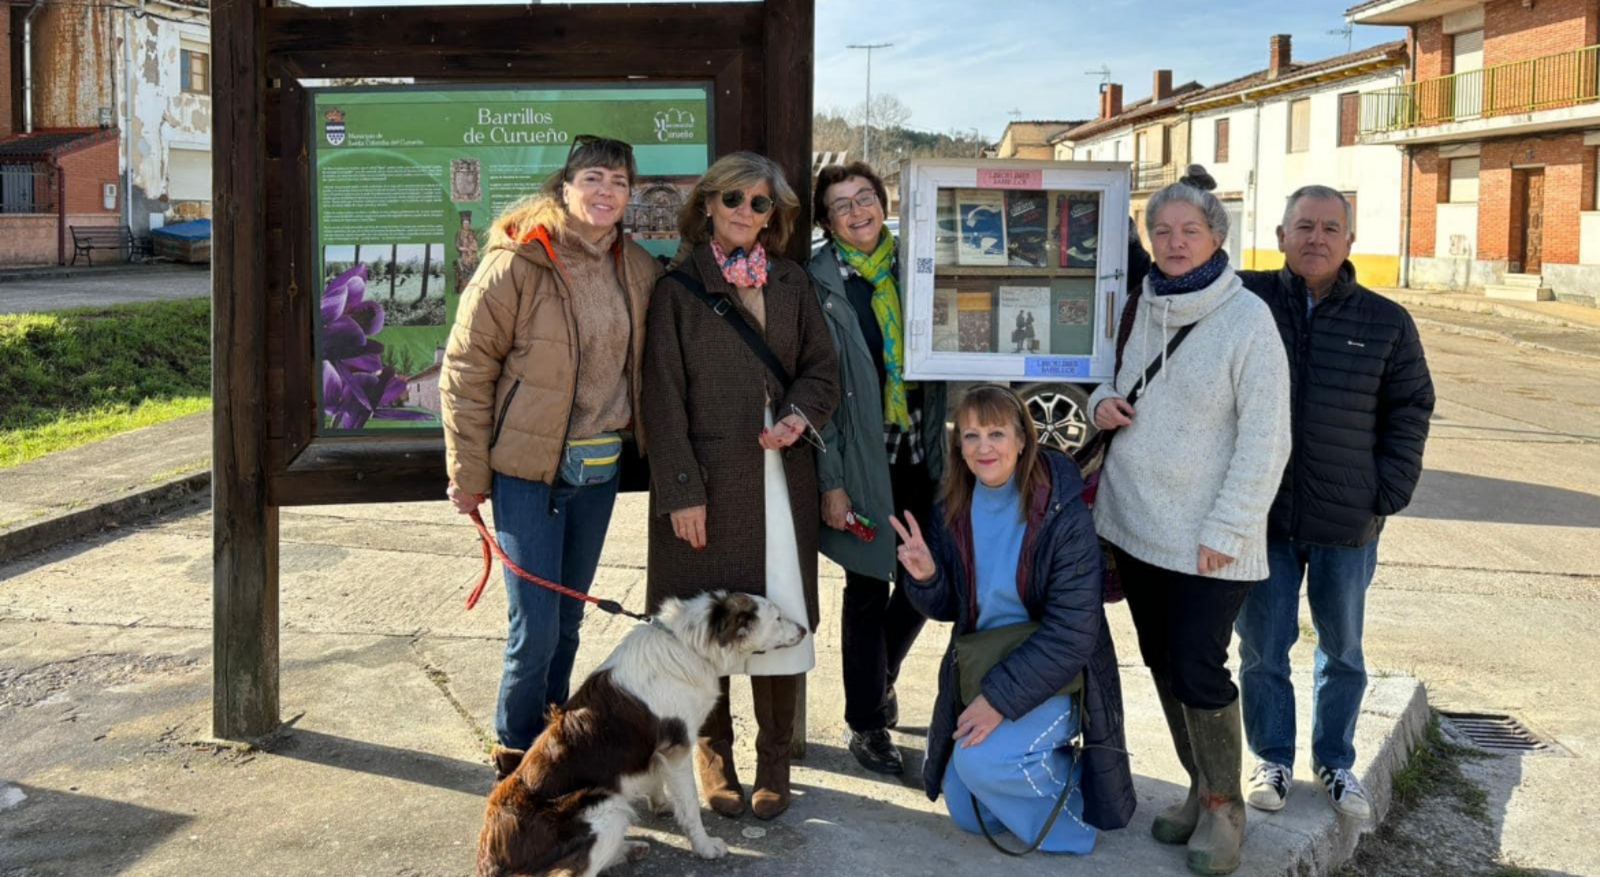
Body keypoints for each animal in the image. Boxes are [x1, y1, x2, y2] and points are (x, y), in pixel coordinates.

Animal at [470, 588, 800, 877]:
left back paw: (630, 848)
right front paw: (705, 847)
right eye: (778, 618)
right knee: (571, 872)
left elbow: (656, 777)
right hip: (607, 807)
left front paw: (661, 803)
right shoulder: (678, 748)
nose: (804, 629)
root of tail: (491, 852)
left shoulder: (660, 751)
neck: (689, 645)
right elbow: (691, 806)